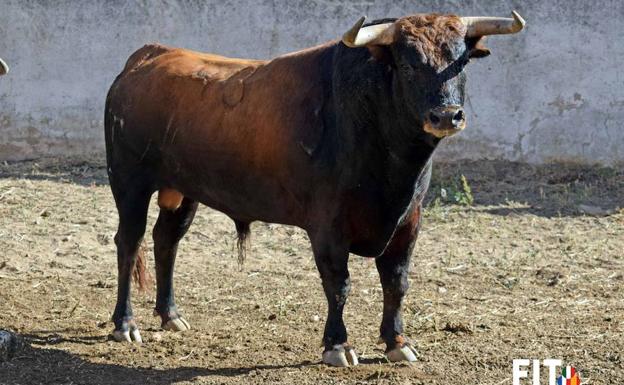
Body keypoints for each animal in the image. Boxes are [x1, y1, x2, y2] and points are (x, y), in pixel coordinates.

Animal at [105, 11, 524, 366]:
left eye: (461, 62)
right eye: (407, 64)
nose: (446, 116)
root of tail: (145, 57)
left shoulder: (409, 222)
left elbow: (396, 282)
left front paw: (398, 343)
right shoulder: (328, 227)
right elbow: (338, 285)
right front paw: (337, 346)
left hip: (182, 191)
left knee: (166, 240)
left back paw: (171, 315)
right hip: (129, 183)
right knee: (129, 242)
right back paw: (125, 324)